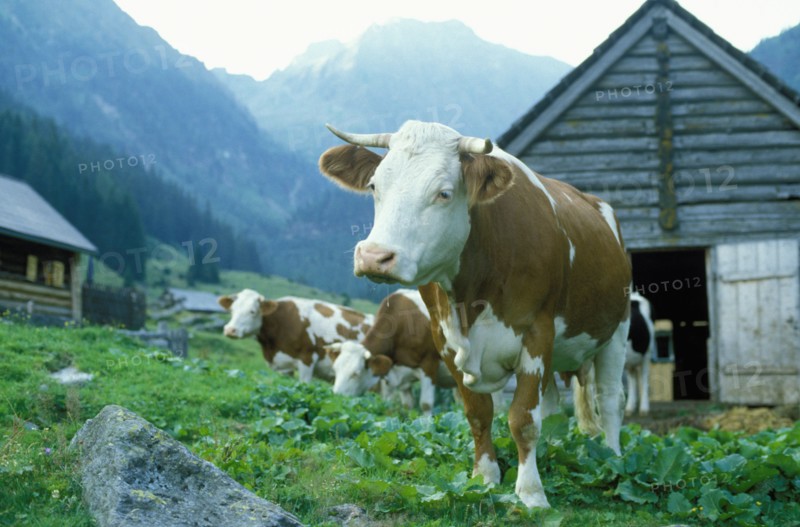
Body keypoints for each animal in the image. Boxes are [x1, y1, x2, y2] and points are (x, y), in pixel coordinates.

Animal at [325, 288, 455, 415]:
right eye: (335, 370)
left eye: (355, 374)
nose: (336, 396)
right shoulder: (399, 375)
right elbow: (407, 405)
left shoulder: (429, 365)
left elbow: (425, 404)